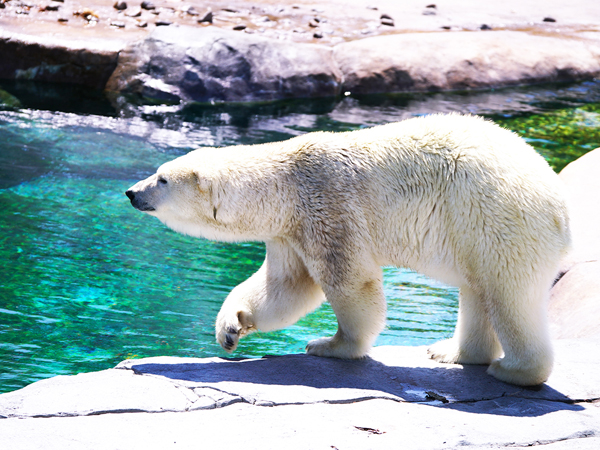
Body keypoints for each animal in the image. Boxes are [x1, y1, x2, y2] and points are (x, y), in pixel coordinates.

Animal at [125, 114, 568, 384]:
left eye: (162, 179)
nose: (131, 192)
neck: (284, 183)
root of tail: (560, 206)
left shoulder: (327, 204)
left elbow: (350, 282)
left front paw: (329, 346)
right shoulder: (289, 230)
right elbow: (285, 286)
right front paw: (231, 326)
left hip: (498, 217)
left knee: (509, 294)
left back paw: (512, 370)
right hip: (476, 231)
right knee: (477, 289)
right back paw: (452, 352)